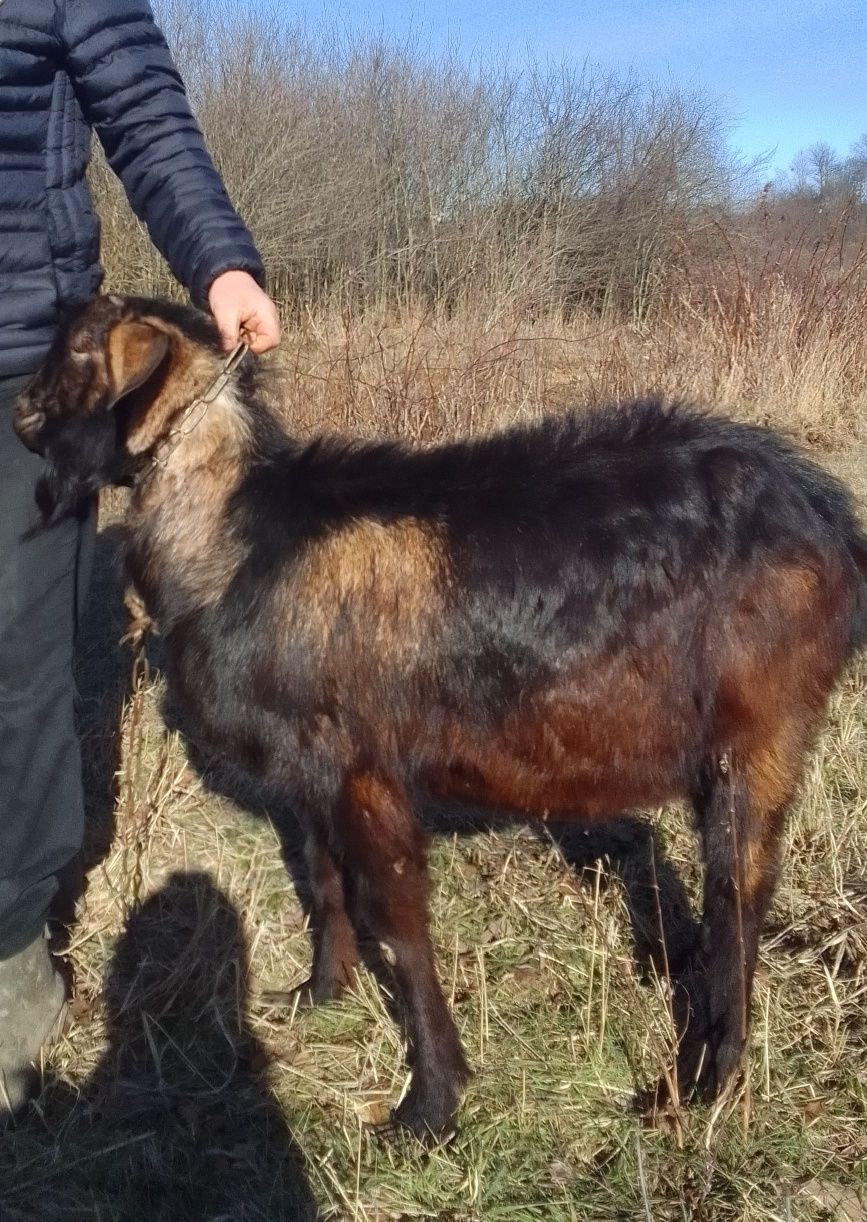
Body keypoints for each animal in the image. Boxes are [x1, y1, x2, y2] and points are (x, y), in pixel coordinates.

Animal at [15, 293, 865, 1134]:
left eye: (80, 349)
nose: (22, 412)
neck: (239, 536)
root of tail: (826, 515)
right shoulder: (311, 766)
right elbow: (324, 876)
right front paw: (319, 993)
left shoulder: (365, 770)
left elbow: (396, 919)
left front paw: (428, 1102)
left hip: (760, 735)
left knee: (740, 892)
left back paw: (701, 1080)